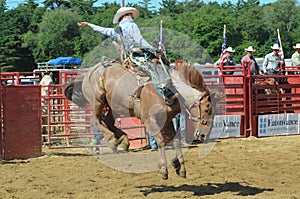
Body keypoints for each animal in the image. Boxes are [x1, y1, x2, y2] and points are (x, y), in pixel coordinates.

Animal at [63, 59, 213, 180]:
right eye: (207, 109)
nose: (203, 135)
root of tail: (87, 74)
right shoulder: (150, 121)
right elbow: (161, 141)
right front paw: (163, 169)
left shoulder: (167, 120)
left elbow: (175, 141)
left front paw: (180, 167)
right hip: (98, 101)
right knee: (96, 121)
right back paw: (112, 139)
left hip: (116, 107)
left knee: (107, 121)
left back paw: (123, 140)